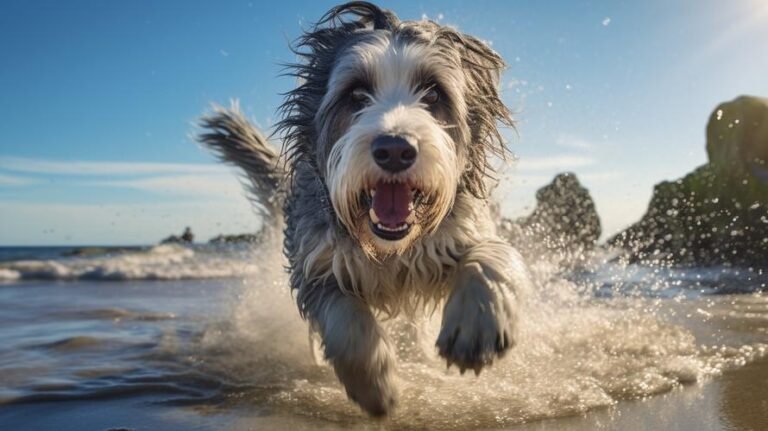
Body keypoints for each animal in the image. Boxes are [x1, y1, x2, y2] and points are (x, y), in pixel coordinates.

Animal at [201, 1, 532, 416]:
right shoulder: (315, 258)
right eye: (357, 94)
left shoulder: (464, 227)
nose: (394, 149)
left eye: (433, 94)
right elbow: (343, 320)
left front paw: (478, 324)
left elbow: (492, 255)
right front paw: (374, 385)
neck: (389, 249)